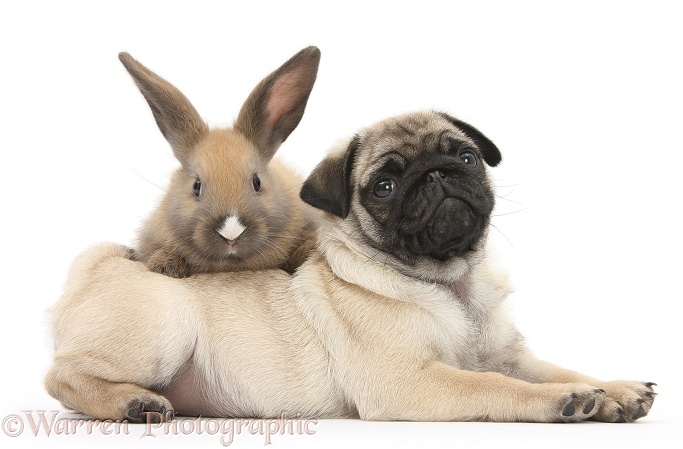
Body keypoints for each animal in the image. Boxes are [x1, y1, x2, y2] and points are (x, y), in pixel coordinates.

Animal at [44, 110, 656, 422]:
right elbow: (495, 387)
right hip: (164, 331)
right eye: (383, 186)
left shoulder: (512, 356)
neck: (449, 283)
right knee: (62, 375)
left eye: (465, 156)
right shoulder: (410, 382)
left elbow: (559, 367)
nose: (436, 175)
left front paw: (613, 389)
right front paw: (562, 400)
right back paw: (131, 401)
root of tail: (99, 268)